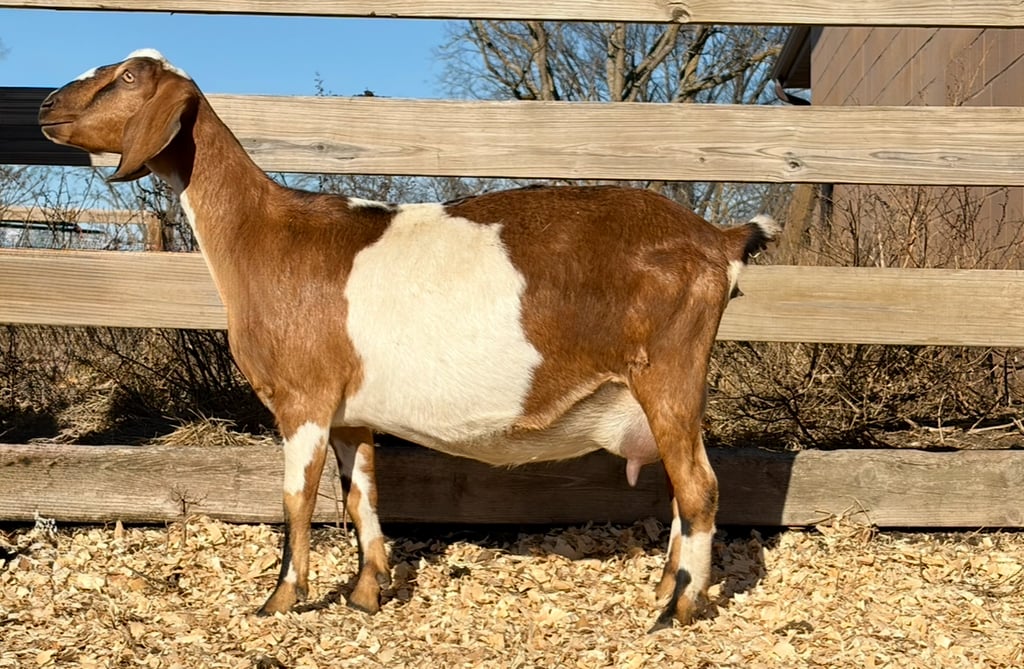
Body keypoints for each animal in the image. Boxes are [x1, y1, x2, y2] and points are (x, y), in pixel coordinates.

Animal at [39, 50, 778, 629]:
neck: (266, 235)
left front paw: (280, 600)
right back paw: (664, 588)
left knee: (700, 488)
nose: (44, 104)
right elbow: (359, 493)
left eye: (127, 76)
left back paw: (677, 609)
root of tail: (719, 240)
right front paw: (366, 593)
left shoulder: (304, 398)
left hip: (668, 373)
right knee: (684, 488)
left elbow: (297, 499)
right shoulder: (350, 411)